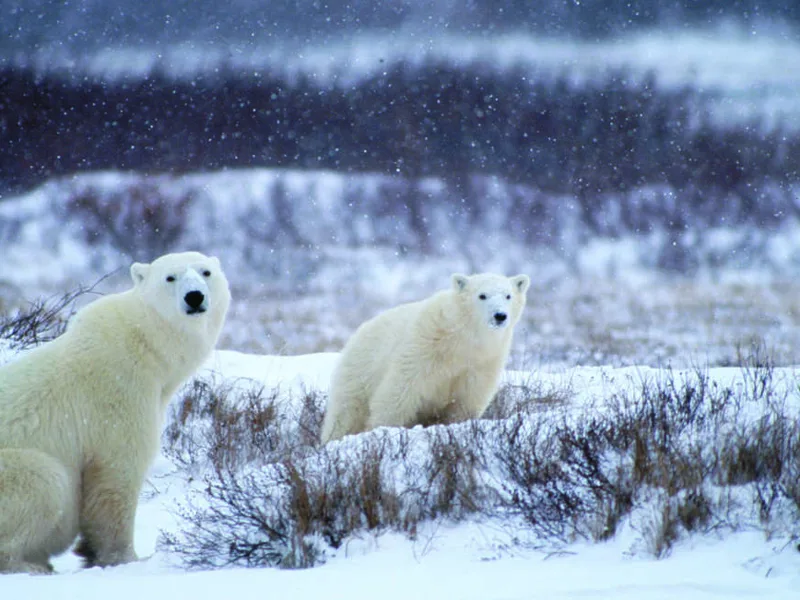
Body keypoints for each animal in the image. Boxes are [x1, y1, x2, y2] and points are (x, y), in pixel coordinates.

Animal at [0, 251, 230, 574]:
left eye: (206, 272)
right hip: (13, 470)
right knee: (46, 480)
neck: (147, 344)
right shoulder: (119, 390)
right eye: (170, 277)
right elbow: (117, 471)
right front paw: (125, 558)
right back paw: (30, 565)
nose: (195, 296)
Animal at [321, 272, 530, 443]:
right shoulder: (424, 346)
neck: (462, 339)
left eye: (508, 295)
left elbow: (467, 399)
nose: (500, 316)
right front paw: (382, 431)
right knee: (346, 413)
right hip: (359, 372)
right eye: (482, 295)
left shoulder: (483, 361)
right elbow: (399, 391)